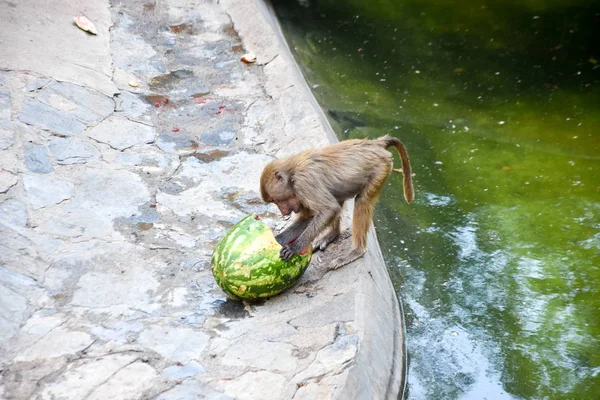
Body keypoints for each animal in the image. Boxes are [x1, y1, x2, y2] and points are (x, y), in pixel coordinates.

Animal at [258, 134, 412, 268]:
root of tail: (375, 143)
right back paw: (333, 235)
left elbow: (329, 210)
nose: (283, 212)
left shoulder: (304, 183)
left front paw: (294, 247)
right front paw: (276, 240)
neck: (292, 173)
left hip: (380, 168)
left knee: (361, 201)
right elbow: (311, 216)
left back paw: (356, 251)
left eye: (276, 200)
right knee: (339, 198)